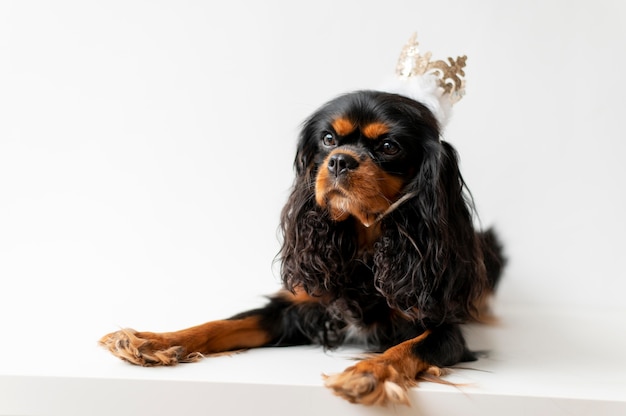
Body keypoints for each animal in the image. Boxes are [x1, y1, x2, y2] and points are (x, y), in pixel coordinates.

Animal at [100, 89, 504, 404]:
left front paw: (368, 373)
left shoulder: (442, 327)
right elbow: (220, 324)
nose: (339, 161)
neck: (365, 248)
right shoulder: (296, 307)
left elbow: (405, 349)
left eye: (390, 147)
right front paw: (153, 341)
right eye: (328, 140)